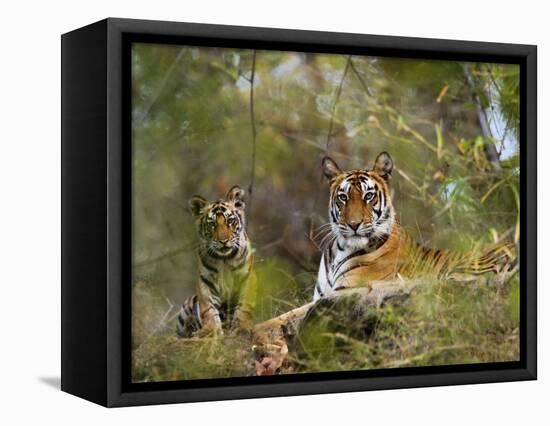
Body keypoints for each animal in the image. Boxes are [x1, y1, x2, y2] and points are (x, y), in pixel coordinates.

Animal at [179, 185, 258, 338]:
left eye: (230, 221)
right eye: (212, 224)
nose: (223, 241)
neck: (224, 259)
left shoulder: (247, 277)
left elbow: (244, 307)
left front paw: (242, 328)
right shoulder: (205, 282)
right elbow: (208, 309)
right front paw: (210, 330)